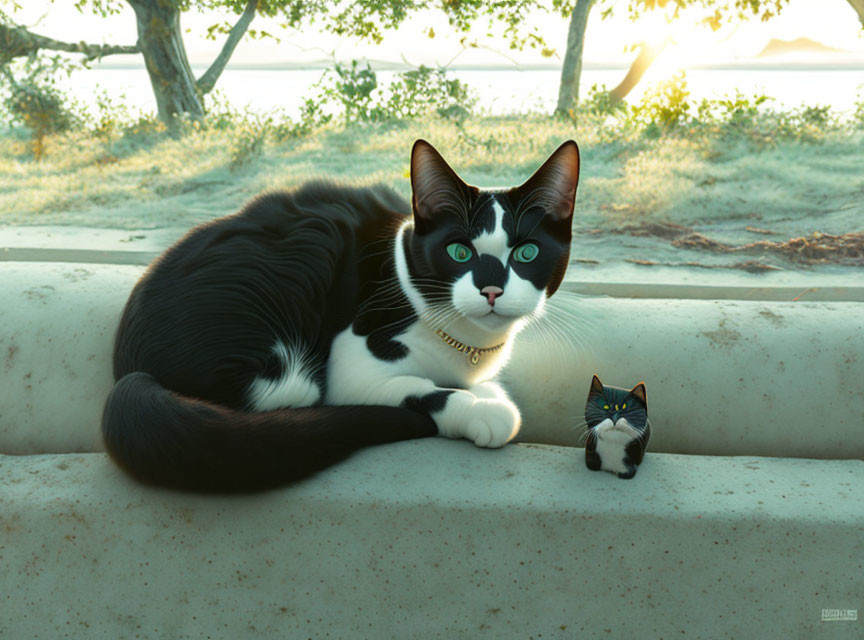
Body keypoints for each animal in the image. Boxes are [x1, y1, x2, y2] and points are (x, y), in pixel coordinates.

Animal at [104, 139, 584, 490]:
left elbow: (492, 389)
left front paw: (485, 394)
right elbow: (430, 392)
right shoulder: (353, 367)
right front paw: (477, 410)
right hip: (286, 340)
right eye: (459, 252)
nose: (491, 290)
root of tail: (130, 367)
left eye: (526, 253)